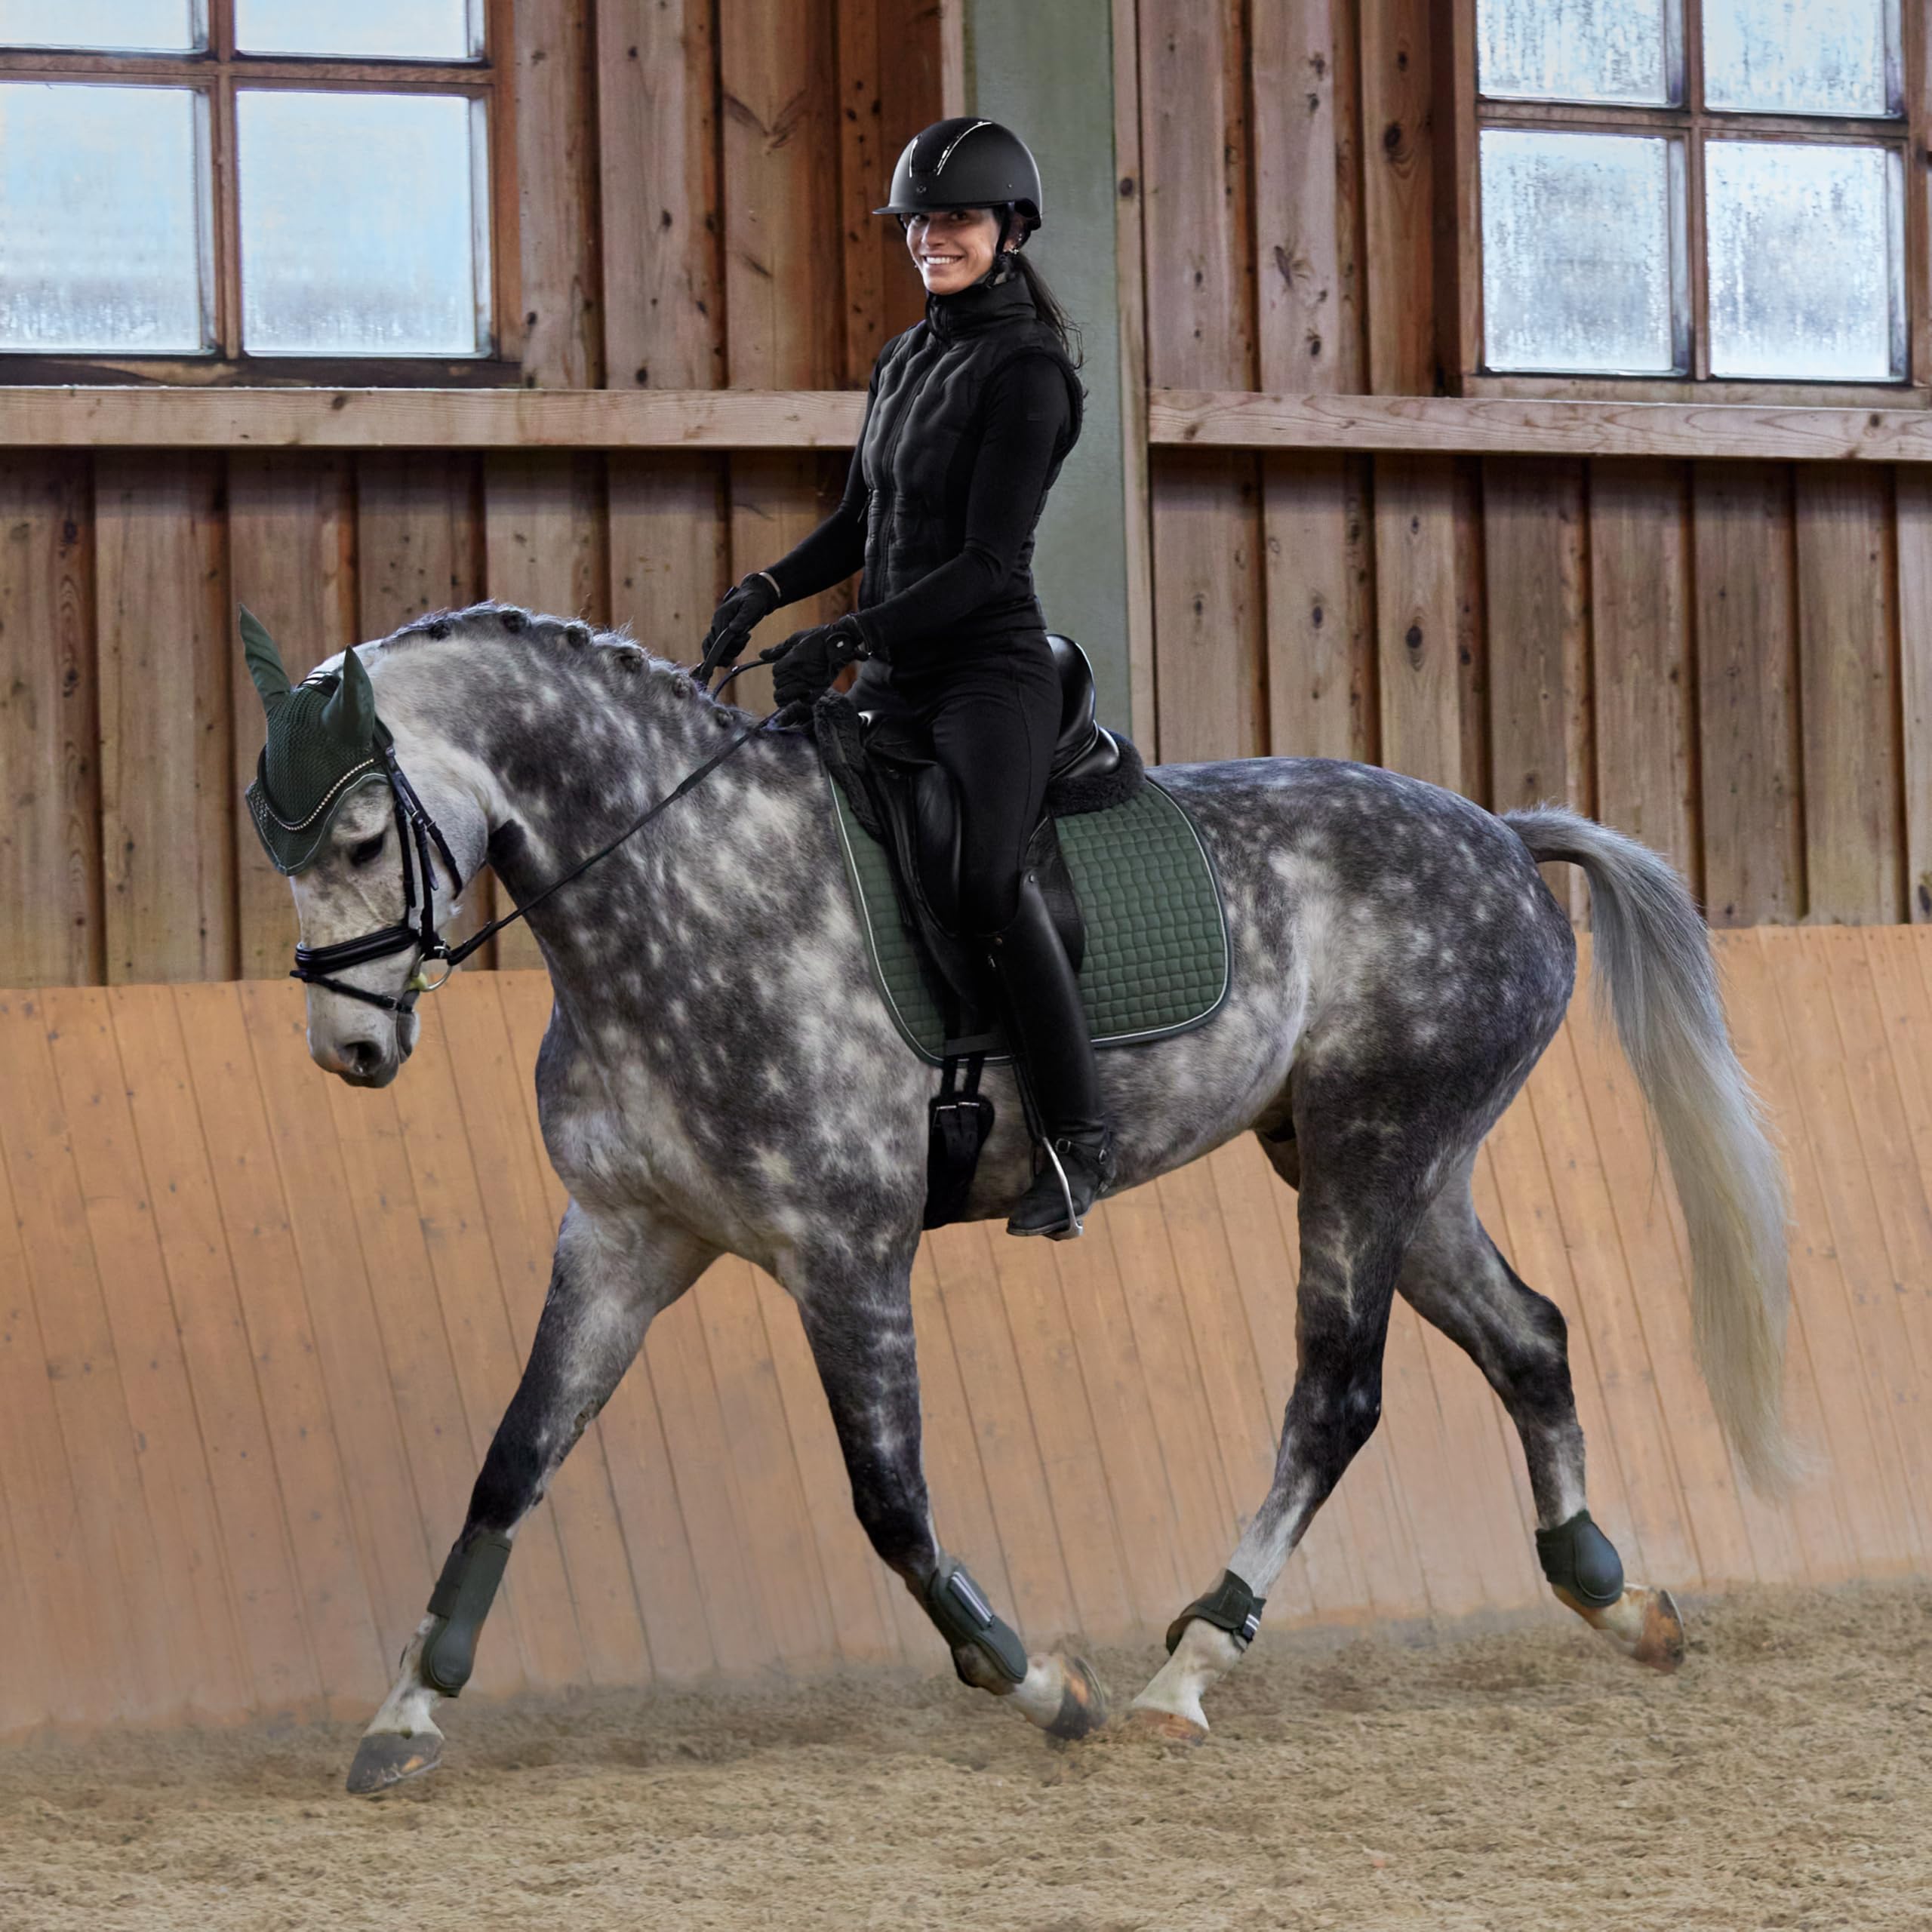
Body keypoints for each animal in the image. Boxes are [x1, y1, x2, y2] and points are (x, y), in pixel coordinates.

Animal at [238, 601, 1792, 1793]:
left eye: (365, 838)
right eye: (278, 846)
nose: (348, 1053)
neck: (687, 895)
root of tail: (1502, 834)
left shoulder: (847, 1254)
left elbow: (890, 1502)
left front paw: (1040, 1681)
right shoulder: (625, 1238)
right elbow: (513, 1461)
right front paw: (405, 1715)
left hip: (1375, 1151)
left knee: (1337, 1397)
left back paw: (1187, 1672)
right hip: (1396, 1166)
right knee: (1528, 1335)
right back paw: (1614, 1597)